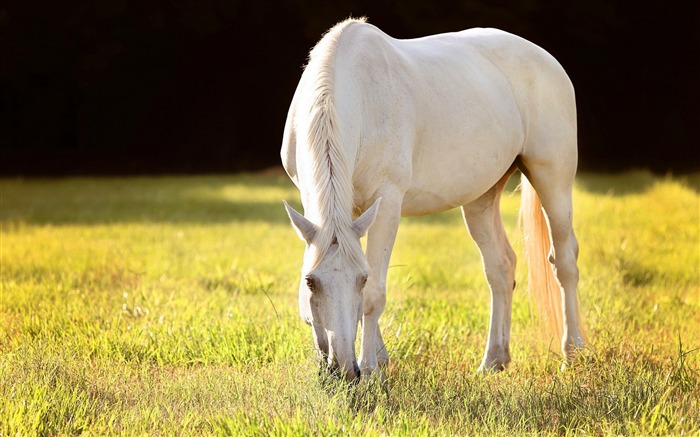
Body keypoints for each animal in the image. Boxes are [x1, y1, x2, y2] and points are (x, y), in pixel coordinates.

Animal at [282, 17, 584, 380]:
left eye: (360, 279)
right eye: (310, 282)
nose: (343, 369)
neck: (360, 96)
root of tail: (547, 60)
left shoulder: (387, 201)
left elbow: (374, 293)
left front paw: (371, 370)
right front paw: (379, 358)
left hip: (553, 178)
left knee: (564, 261)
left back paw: (574, 354)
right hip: (481, 196)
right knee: (500, 267)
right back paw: (493, 360)